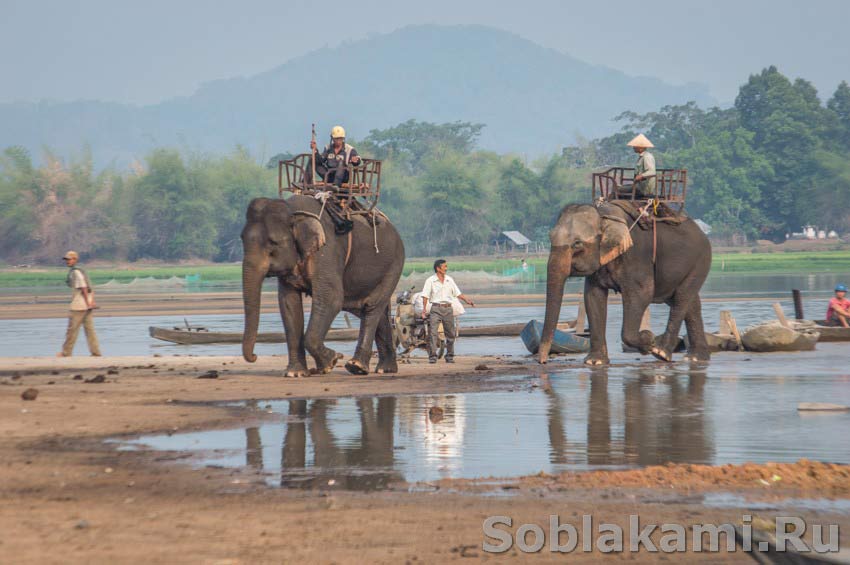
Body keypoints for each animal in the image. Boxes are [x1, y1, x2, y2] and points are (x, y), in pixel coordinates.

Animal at [242, 196, 404, 376]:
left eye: (273, 243)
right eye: (242, 239)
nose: (254, 356)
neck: (293, 211)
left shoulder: (326, 251)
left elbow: (331, 298)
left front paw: (332, 361)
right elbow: (288, 304)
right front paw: (296, 373)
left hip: (394, 264)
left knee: (372, 307)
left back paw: (357, 366)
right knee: (370, 310)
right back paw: (386, 368)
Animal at [540, 203, 712, 366]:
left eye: (577, 243)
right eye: (549, 238)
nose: (542, 361)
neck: (604, 216)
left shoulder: (636, 256)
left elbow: (642, 294)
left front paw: (648, 340)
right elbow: (593, 297)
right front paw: (595, 361)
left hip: (700, 261)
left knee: (682, 298)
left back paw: (661, 353)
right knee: (688, 302)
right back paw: (696, 357)